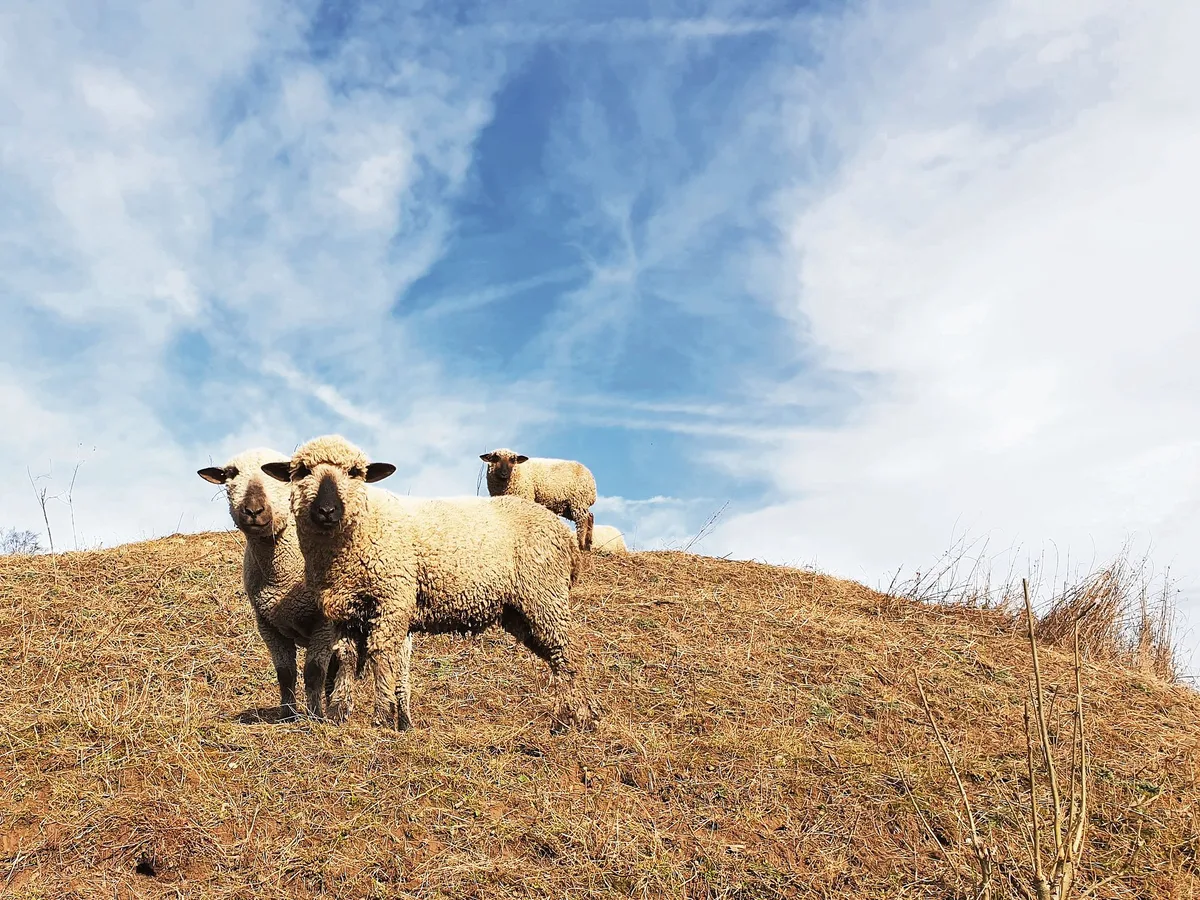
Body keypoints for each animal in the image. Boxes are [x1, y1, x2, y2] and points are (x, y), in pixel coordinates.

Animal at [197, 447, 344, 720]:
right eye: (231, 473)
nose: (253, 510)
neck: (280, 580)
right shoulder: (267, 624)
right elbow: (286, 674)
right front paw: (287, 715)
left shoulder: (323, 623)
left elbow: (313, 671)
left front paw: (314, 716)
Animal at [262, 434, 595, 732]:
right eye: (302, 471)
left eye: (355, 472)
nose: (327, 510)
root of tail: (565, 538)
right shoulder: (346, 609)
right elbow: (347, 657)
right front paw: (338, 713)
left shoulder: (393, 600)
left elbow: (382, 655)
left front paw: (382, 717)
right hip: (521, 611)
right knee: (557, 655)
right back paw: (580, 716)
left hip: (544, 594)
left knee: (568, 654)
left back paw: (571, 720)